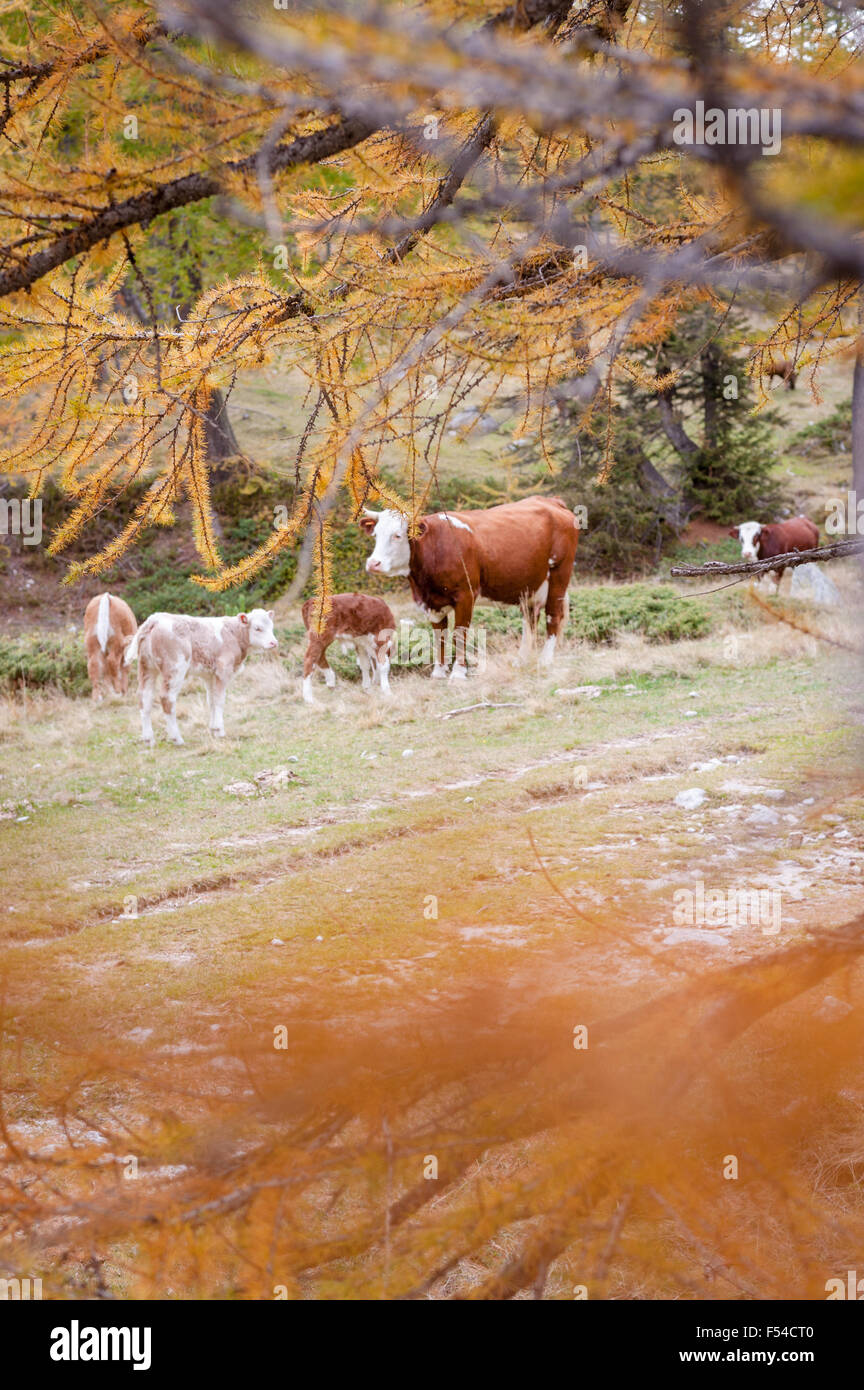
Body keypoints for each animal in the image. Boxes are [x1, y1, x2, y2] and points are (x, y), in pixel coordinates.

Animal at [124, 603, 277, 745]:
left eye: (271, 627)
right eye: (257, 628)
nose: (273, 643)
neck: (234, 634)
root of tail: (154, 620)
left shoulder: (210, 675)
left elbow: (212, 700)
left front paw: (213, 730)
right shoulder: (223, 669)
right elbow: (220, 700)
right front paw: (220, 731)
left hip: (146, 667)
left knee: (145, 697)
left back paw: (148, 739)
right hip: (175, 668)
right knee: (167, 698)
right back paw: (177, 738)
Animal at [361, 497, 577, 675]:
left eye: (397, 535)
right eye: (375, 535)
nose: (373, 563)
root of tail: (551, 501)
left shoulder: (465, 595)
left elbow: (459, 634)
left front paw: (458, 673)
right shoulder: (431, 603)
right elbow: (439, 636)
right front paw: (439, 672)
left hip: (559, 575)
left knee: (553, 616)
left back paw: (545, 661)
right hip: (530, 585)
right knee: (530, 620)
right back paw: (522, 660)